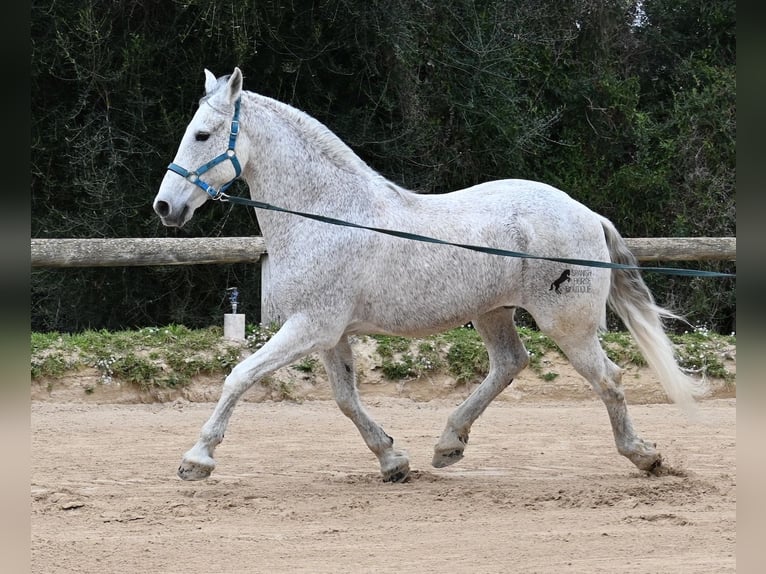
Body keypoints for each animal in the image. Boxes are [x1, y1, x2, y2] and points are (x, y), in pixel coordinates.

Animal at [154, 67, 708, 484]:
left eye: (202, 134)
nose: (166, 207)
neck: (328, 215)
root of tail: (588, 214)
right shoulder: (329, 333)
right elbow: (346, 399)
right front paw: (393, 461)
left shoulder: (311, 326)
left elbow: (239, 376)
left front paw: (196, 459)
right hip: (493, 313)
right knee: (511, 364)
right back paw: (448, 446)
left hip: (567, 324)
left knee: (608, 379)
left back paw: (644, 456)